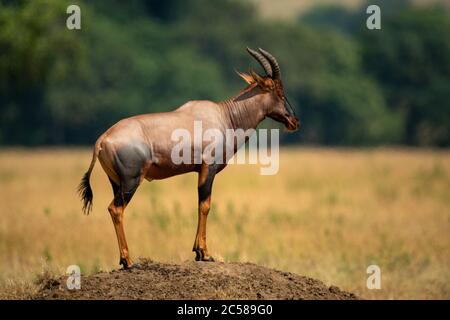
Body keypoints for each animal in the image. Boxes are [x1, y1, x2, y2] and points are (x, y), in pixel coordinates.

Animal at [79, 47, 300, 268]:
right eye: (278, 91)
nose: (294, 121)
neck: (224, 116)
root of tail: (102, 139)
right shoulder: (209, 167)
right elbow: (205, 205)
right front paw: (205, 253)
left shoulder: (199, 170)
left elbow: (199, 204)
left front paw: (197, 251)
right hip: (130, 181)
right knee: (116, 209)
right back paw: (129, 261)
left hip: (116, 182)